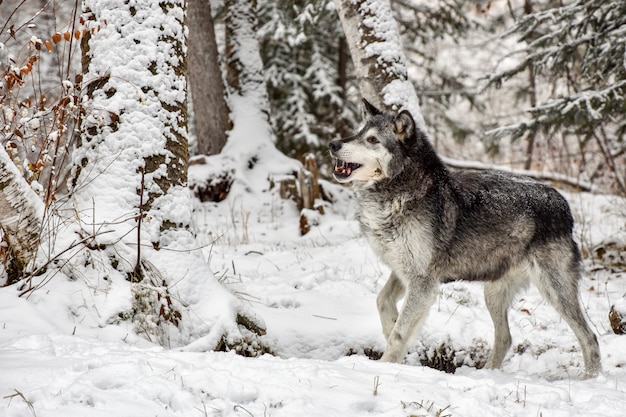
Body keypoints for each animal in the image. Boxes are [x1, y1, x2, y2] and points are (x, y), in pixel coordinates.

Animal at [332, 99, 600, 376]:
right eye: (358, 133)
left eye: (372, 139)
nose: (333, 144)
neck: (401, 191)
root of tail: (564, 204)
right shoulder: (403, 271)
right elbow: (383, 302)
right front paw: (392, 327)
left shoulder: (422, 282)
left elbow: (399, 333)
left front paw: (383, 367)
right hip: (493, 294)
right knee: (505, 338)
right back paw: (486, 375)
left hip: (554, 290)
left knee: (590, 337)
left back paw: (590, 379)